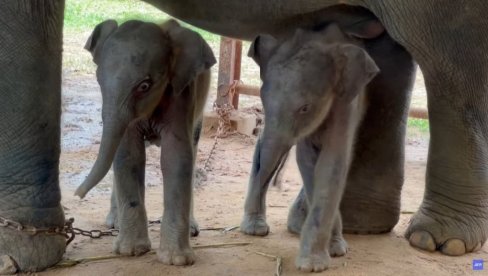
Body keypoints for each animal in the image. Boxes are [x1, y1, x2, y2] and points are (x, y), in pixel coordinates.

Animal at [74, 18, 215, 266]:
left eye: (145, 86)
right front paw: (130, 251)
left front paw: (176, 260)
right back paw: (114, 223)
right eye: (98, 80)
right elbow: (128, 156)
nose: (77, 195)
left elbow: (176, 157)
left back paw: (192, 230)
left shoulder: (183, 96)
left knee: (193, 149)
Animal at [242, 24, 380, 272]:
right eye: (262, 100)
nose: (277, 185)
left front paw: (319, 261)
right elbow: (306, 161)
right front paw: (323, 257)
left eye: (305, 108)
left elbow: (332, 163)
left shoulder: (345, 104)